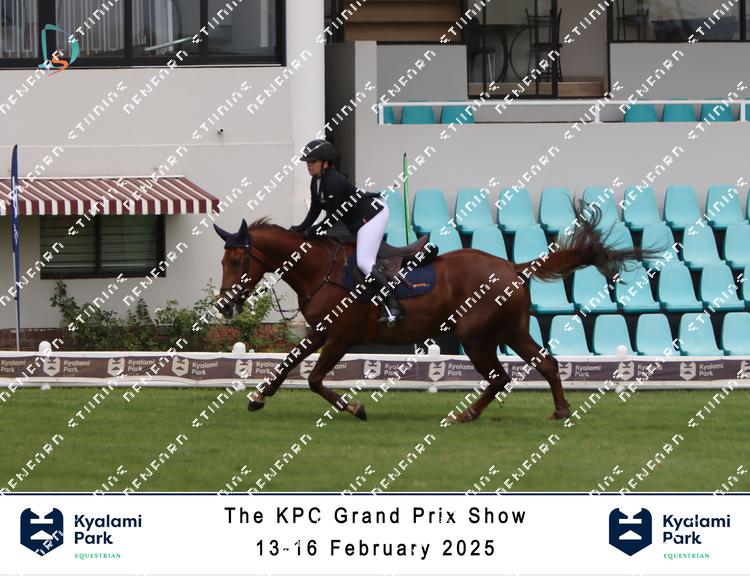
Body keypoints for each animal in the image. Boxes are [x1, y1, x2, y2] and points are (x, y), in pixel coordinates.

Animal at [213, 206, 650, 422]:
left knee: (501, 376)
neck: (320, 269)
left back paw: (467, 415)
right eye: (223, 260)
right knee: (546, 364)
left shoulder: (340, 337)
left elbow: (315, 379)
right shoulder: (320, 332)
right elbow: (287, 364)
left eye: (236, 260)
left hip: (475, 337)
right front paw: (258, 397)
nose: (224, 305)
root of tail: (513, 266)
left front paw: (356, 408)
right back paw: (559, 410)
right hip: (511, 332)